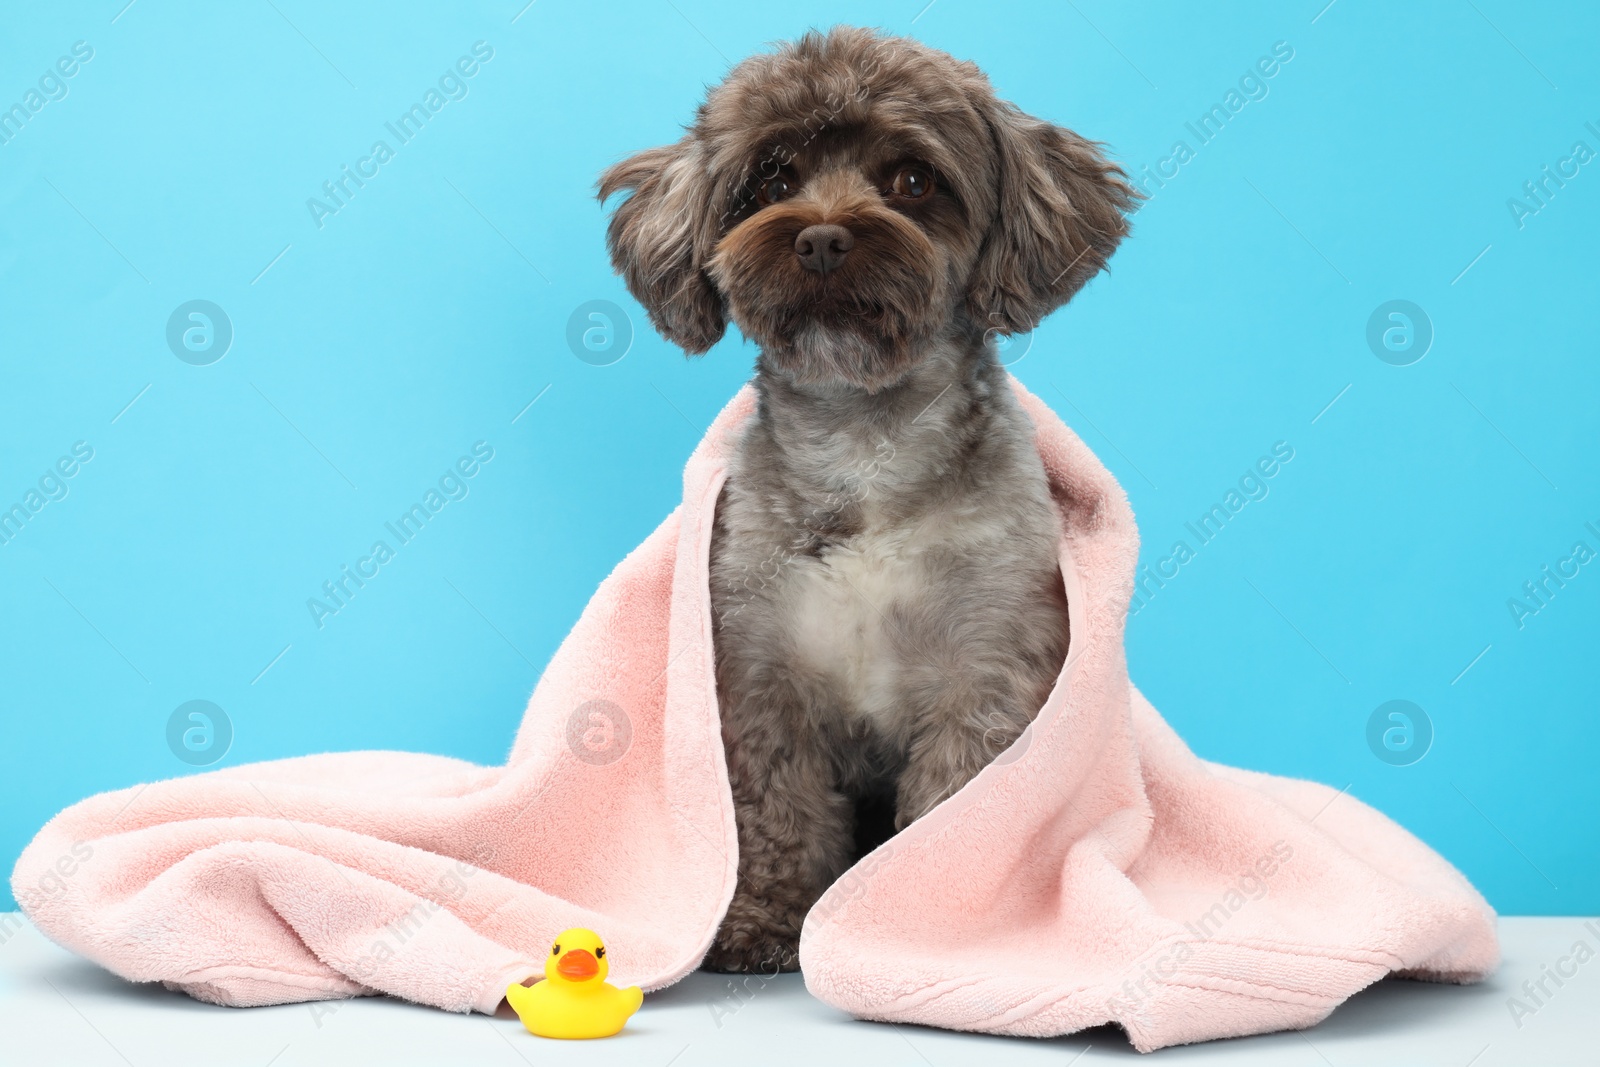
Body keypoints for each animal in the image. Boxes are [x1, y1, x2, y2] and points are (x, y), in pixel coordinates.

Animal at [601, 27, 1139, 979]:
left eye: (914, 180)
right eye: (772, 178)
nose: (820, 238)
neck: (864, 449)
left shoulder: (988, 676)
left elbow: (952, 813)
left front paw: (897, 931)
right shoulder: (757, 676)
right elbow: (773, 809)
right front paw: (763, 918)